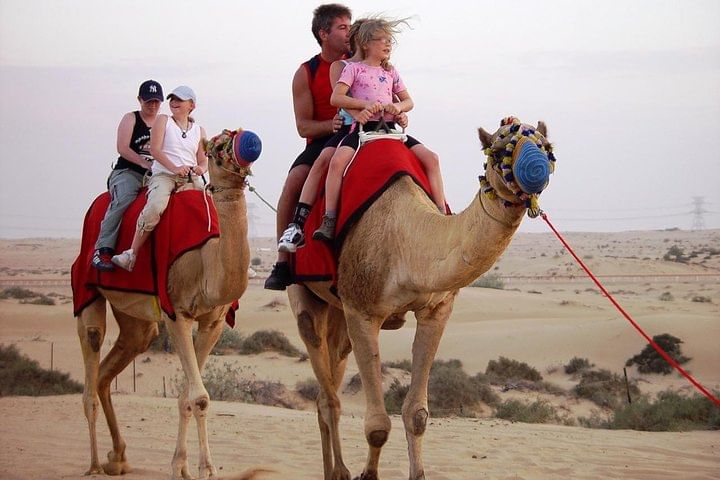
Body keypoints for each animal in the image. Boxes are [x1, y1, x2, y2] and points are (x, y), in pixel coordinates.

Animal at [76, 129, 256, 479]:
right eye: (216, 145)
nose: (248, 143)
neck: (205, 259)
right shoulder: (177, 313)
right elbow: (198, 397)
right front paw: (206, 468)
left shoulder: (213, 322)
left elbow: (188, 396)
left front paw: (183, 466)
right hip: (86, 289)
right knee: (91, 362)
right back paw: (93, 464)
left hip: (137, 318)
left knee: (112, 365)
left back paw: (118, 457)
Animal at [288, 118, 555, 480]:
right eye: (499, 149)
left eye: (546, 146)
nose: (536, 169)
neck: (407, 241)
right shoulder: (362, 310)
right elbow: (377, 426)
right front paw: (366, 474)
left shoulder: (436, 309)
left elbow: (417, 415)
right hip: (305, 294)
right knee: (327, 391)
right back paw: (340, 471)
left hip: (337, 311)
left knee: (327, 383)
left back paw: (332, 469)